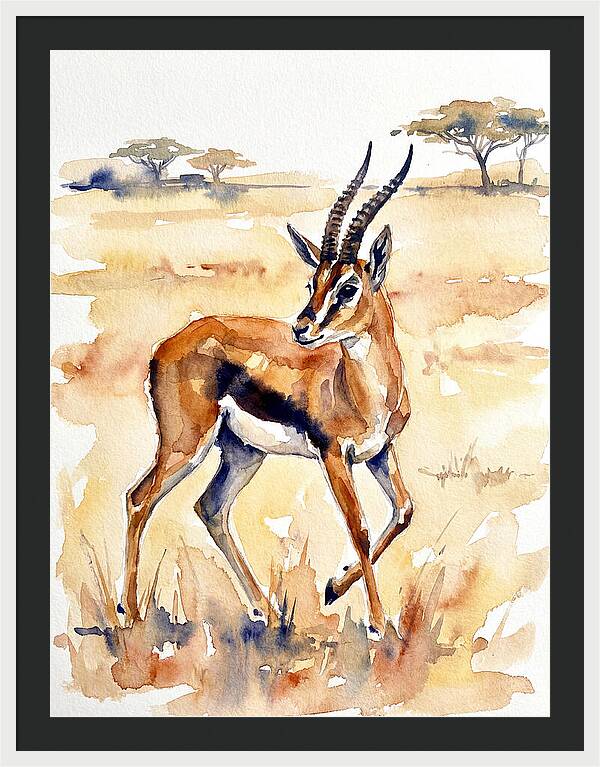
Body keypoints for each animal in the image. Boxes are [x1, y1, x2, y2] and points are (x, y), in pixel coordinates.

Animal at [123, 142, 415, 636]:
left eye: (348, 286)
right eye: (313, 281)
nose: (302, 329)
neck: (365, 391)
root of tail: (165, 345)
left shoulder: (379, 452)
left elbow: (404, 511)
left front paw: (333, 588)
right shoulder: (334, 455)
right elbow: (359, 527)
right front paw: (378, 622)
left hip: (242, 451)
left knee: (211, 508)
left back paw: (269, 611)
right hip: (185, 443)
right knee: (139, 499)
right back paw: (129, 614)